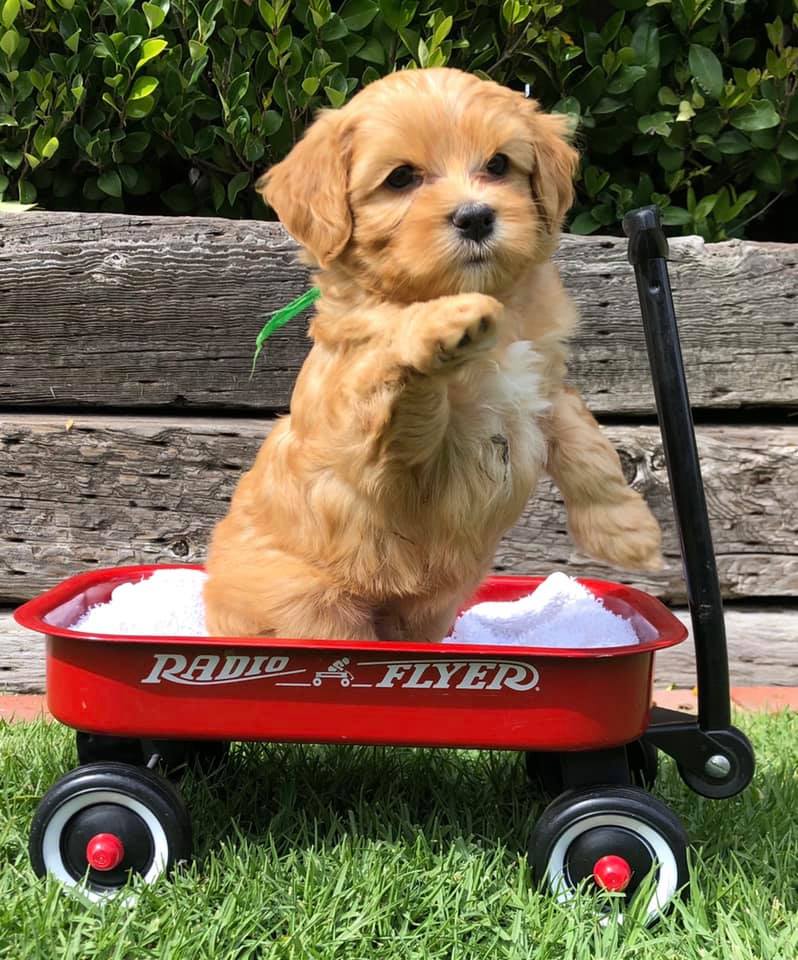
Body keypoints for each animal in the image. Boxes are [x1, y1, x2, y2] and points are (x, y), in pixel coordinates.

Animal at [205, 65, 664, 636]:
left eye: (498, 164)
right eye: (401, 178)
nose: (475, 217)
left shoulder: (547, 389)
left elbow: (590, 448)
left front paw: (628, 533)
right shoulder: (385, 453)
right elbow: (400, 378)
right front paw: (447, 319)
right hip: (313, 608)